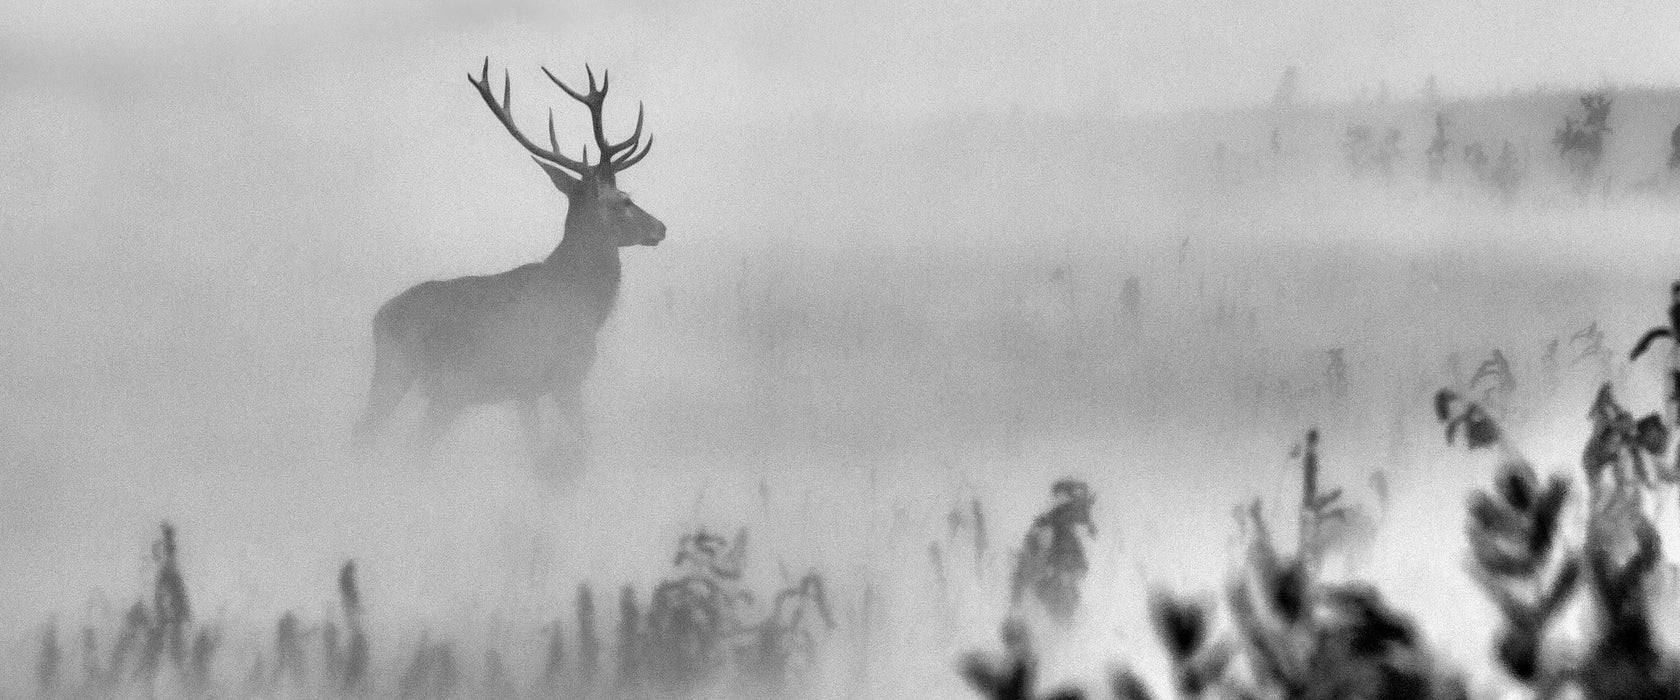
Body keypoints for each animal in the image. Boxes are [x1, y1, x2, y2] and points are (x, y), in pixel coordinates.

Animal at [352, 60, 661, 470]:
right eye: (625, 199)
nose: (661, 227)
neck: (584, 303)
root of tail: (378, 318)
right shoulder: (560, 376)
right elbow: (578, 446)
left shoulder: (526, 391)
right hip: (417, 376)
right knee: (383, 439)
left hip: (425, 386)